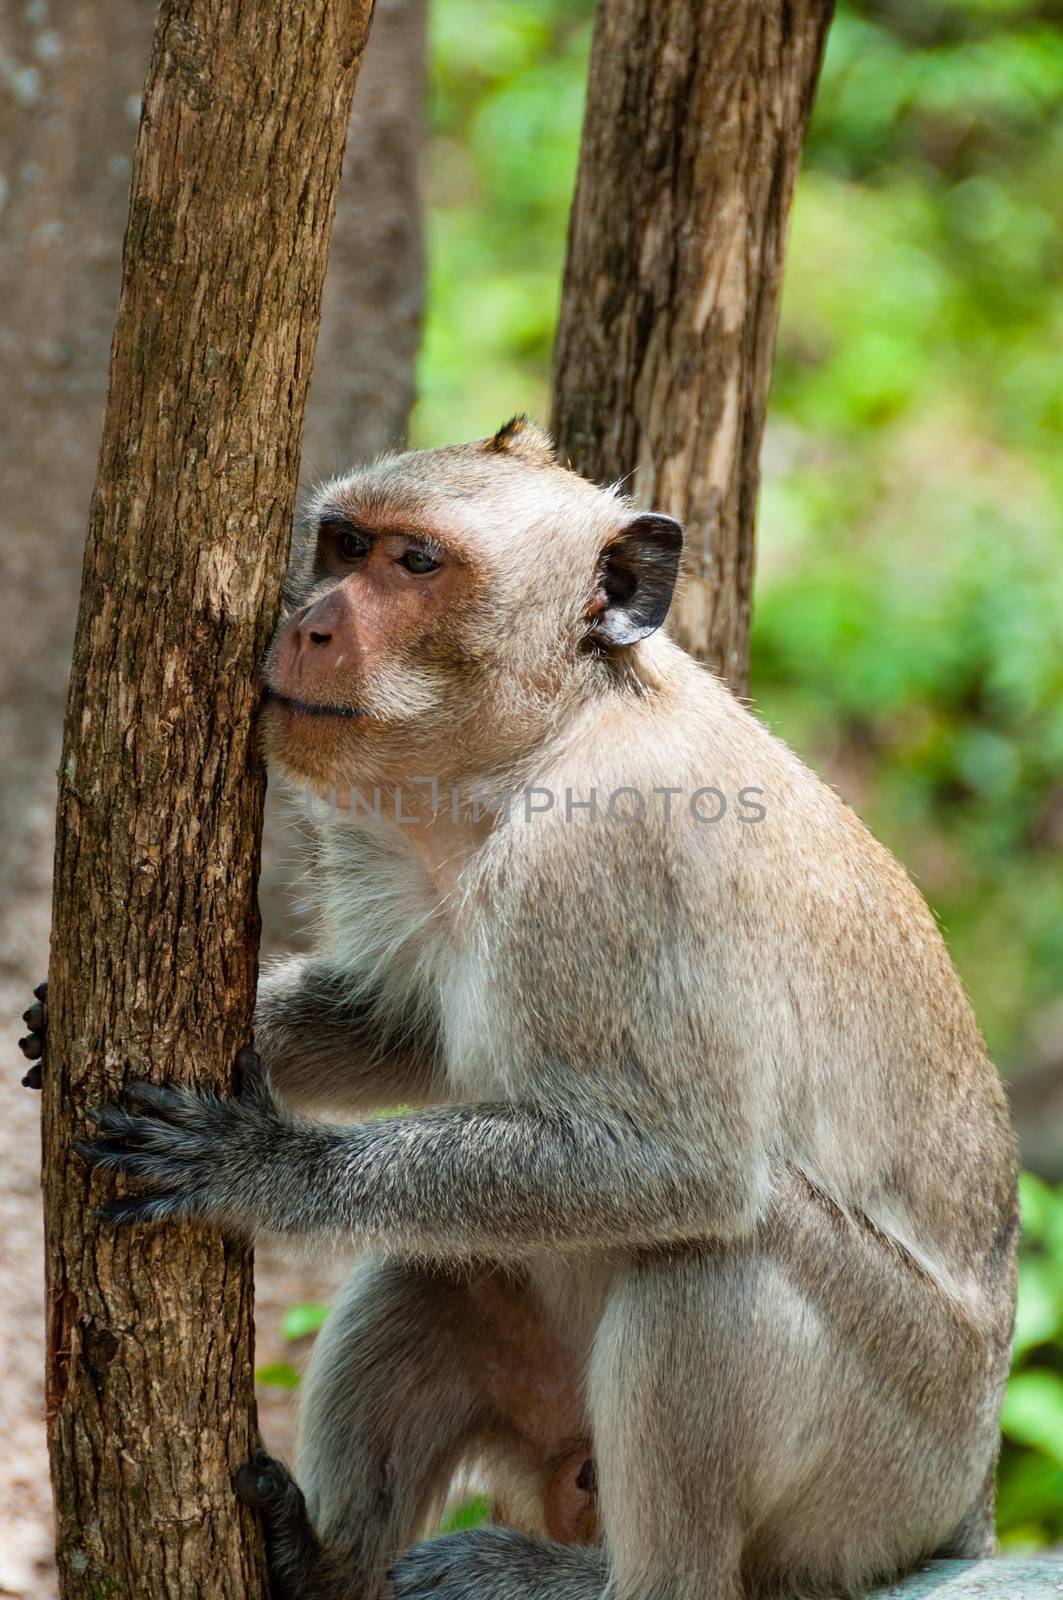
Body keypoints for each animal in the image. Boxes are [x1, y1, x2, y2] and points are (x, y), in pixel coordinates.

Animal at [24, 419, 1018, 1600]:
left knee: (719, 1252)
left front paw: (261, 1166)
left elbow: (681, 1163)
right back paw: (327, 1565)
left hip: (883, 1476)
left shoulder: (612, 853)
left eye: (416, 564)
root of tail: (967, 1505)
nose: (308, 624)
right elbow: (407, 1025)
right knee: (428, 1272)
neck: (539, 743)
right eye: (344, 544)